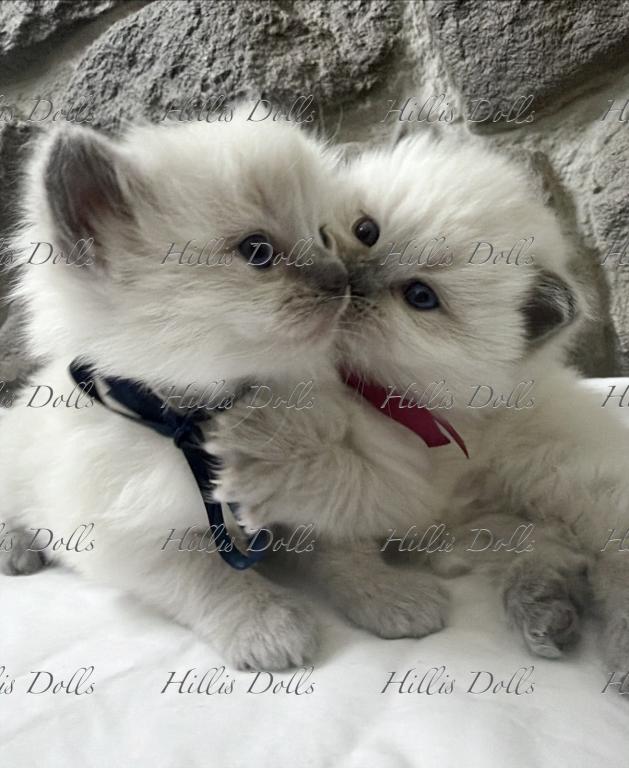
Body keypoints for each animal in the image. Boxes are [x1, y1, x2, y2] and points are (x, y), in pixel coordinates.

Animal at [0, 112, 350, 670]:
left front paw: (397, 596)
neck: (202, 422)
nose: (344, 279)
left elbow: (340, 547)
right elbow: (212, 578)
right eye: (257, 251)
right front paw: (268, 626)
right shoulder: (132, 540)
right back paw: (15, 548)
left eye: (324, 236)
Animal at [209, 132, 629, 676]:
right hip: (499, 528)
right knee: (559, 554)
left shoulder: (412, 489)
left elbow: (341, 477)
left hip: (571, 489)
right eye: (367, 230)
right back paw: (545, 610)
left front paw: (269, 454)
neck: (358, 384)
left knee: (607, 559)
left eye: (420, 297)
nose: (356, 279)